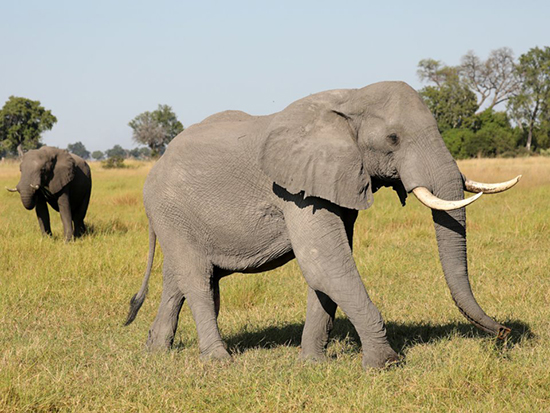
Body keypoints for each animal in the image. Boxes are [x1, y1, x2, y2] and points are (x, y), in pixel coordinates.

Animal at [125, 80, 520, 366]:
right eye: (393, 139)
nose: (504, 333)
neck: (351, 99)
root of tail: (156, 165)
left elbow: (328, 271)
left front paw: (312, 364)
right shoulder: (295, 190)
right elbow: (325, 263)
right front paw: (385, 364)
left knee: (182, 278)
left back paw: (155, 351)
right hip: (169, 209)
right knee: (197, 279)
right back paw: (219, 362)